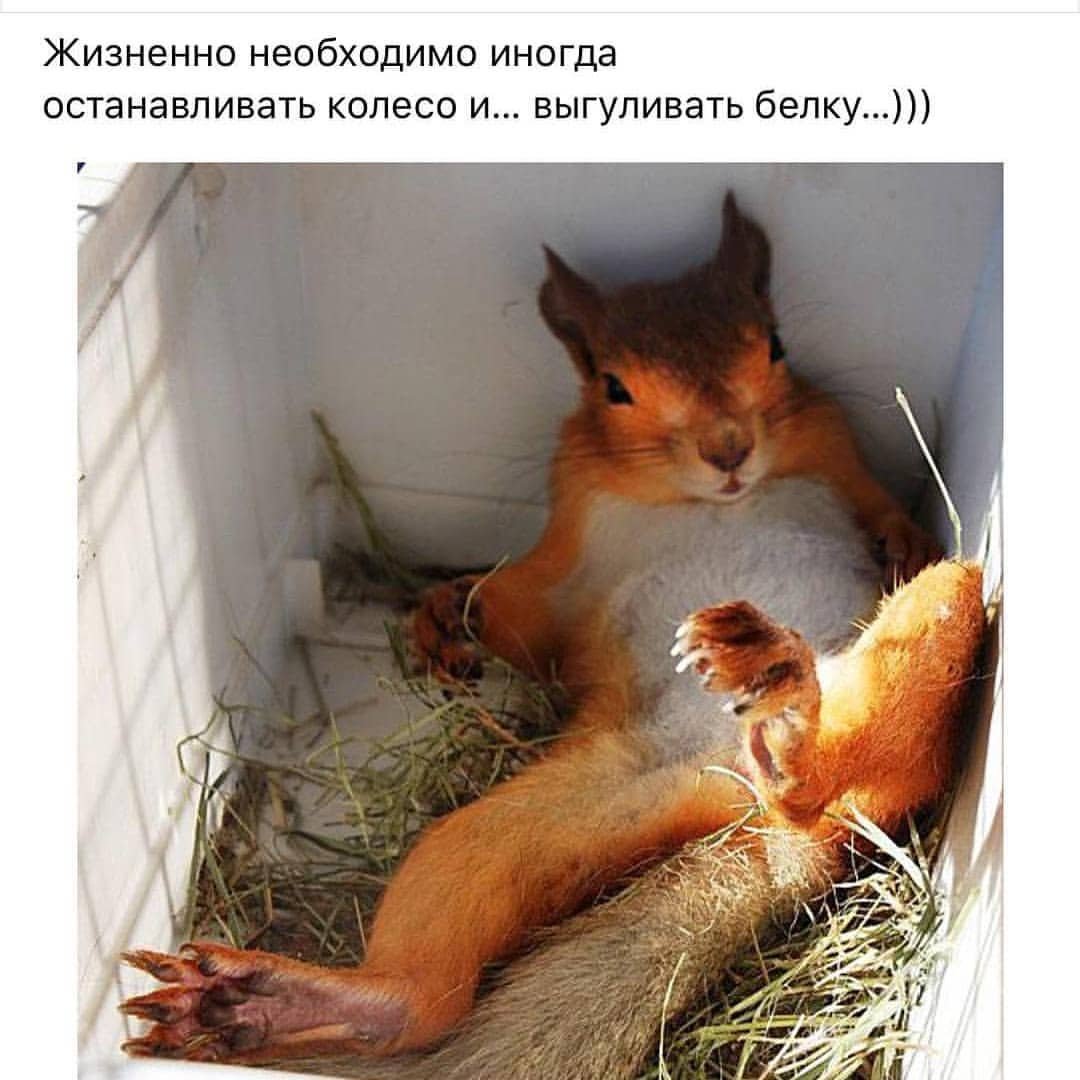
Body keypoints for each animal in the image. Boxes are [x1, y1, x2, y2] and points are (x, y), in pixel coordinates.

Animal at [119, 192, 986, 1079]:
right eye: (614, 386)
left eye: (774, 346)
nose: (730, 448)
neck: (701, 497)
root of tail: (763, 821)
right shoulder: (566, 559)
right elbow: (512, 609)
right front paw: (441, 616)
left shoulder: (838, 451)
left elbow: (883, 503)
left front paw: (900, 540)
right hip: (541, 820)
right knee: (424, 992)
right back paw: (265, 1001)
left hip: (943, 626)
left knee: (871, 711)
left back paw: (780, 688)